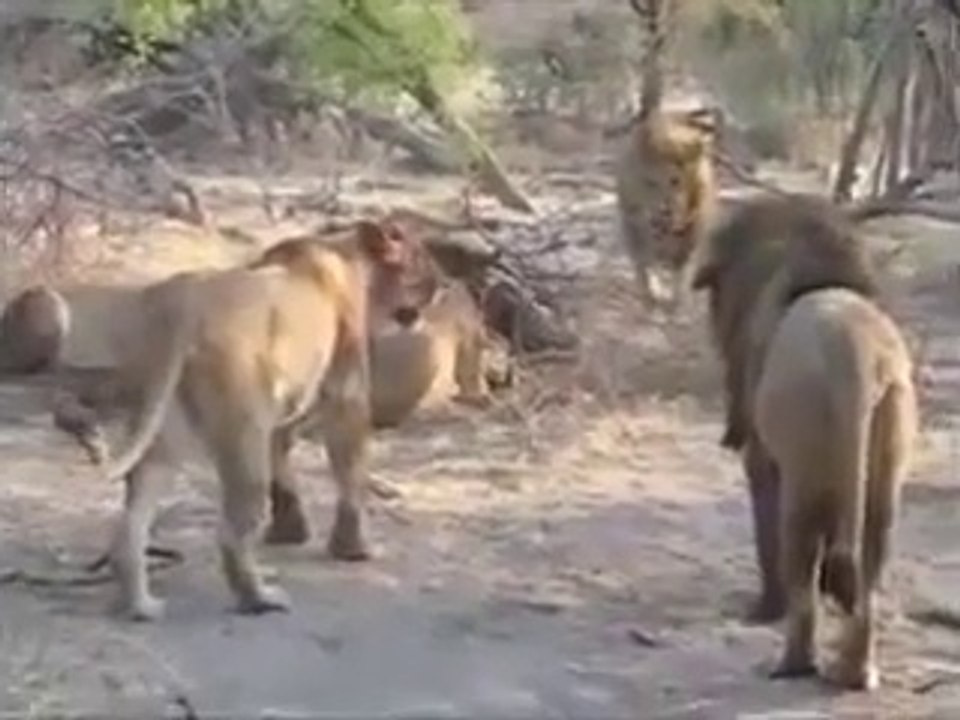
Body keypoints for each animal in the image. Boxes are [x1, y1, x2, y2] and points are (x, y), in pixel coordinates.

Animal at [99, 218, 439, 621]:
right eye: (422, 261)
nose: (439, 287)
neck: (349, 255)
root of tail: (184, 302)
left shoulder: (282, 405)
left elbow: (284, 460)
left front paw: (290, 529)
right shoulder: (346, 393)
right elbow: (350, 471)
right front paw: (353, 548)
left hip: (164, 436)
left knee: (132, 523)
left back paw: (141, 604)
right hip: (243, 433)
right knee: (230, 534)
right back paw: (259, 598)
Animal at [614, 107, 718, 308]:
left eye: (675, 181)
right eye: (650, 183)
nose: (664, 211)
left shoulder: (691, 236)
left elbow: (681, 272)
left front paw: (677, 301)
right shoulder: (634, 227)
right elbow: (645, 266)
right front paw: (653, 293)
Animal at [754, 287, 916, 690]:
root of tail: (856, 353)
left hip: (804, 422)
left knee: (799, 541)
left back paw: (792, 667)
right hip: (896, 408)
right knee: (875, 540)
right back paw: (856, 676)